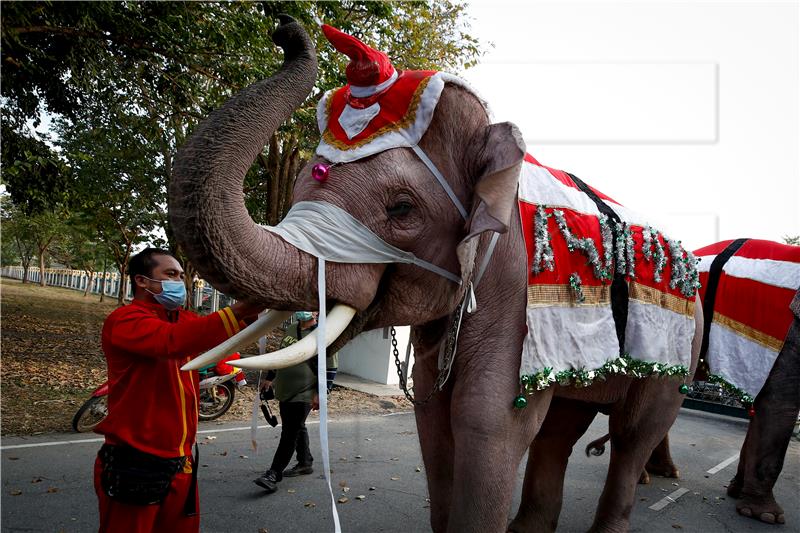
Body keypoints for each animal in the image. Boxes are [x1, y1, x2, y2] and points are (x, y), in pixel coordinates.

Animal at [167, 16, 700, 532]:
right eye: (298, 187)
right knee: (560, 429)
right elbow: (432, 416)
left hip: (678, 352)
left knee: (633, 432)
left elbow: (487, 420)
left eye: (402, 208)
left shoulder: (512, 292)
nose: (283, 26)